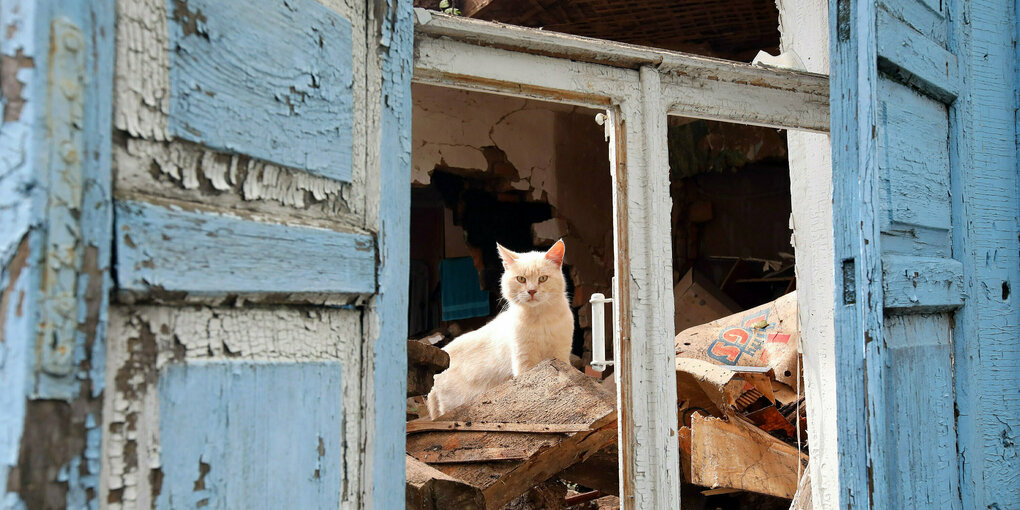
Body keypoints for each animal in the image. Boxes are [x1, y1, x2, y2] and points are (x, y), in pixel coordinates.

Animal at [426, 240, 575, 420]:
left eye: (543, 278)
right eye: (521, 279)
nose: (532, 291)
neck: (541, 319)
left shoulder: (561, 354)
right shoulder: (524, 360)